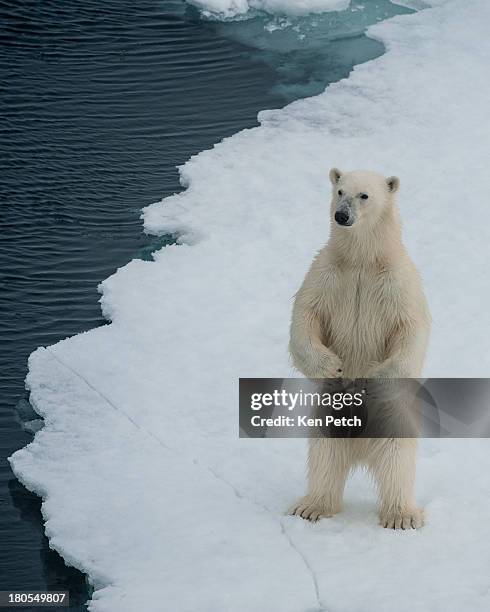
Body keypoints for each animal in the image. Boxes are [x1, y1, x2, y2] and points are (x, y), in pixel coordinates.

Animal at [290, 169, 430, 532]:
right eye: (340, 191)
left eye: (364, 195)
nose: (342, 215)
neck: (362, 260)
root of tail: (361, 449)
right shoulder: (325, 274)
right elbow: (305, 317)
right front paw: (332, 366)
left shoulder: (398, 282)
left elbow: (410, 330)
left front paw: (374, 377)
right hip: (329, 412)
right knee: (324, 453)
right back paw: (312, 506)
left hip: (392, 415)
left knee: (396, 457)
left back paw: (401, 515)